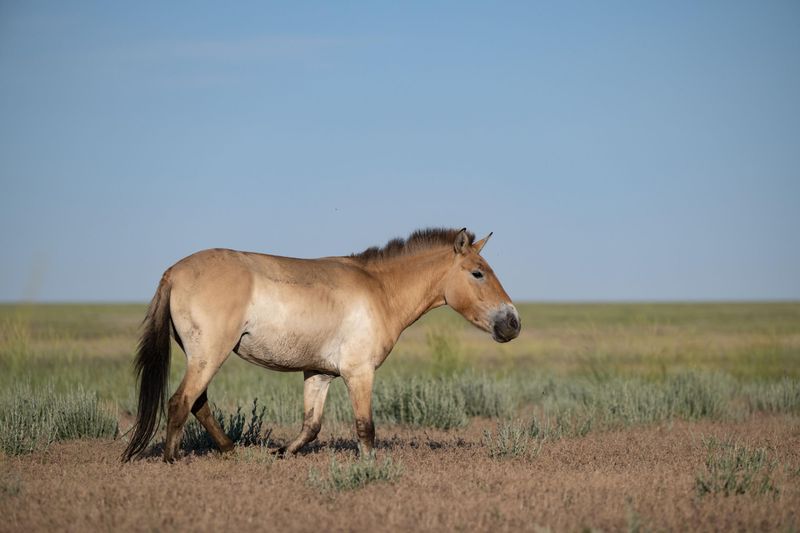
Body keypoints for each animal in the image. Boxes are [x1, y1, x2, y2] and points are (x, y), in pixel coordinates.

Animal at [119, 227, 520, 460]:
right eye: (477, 273)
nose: (513, 323)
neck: (379, 290)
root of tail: (173, 272)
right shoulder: (359, 372)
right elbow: (365, 428)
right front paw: (370, 467)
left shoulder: (319, 373)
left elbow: (311, 426)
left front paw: (281, 452)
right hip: (209, 355)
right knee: (180, 402)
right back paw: (173, 459)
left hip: (203, 357)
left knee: (198, 403)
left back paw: (233, 451)